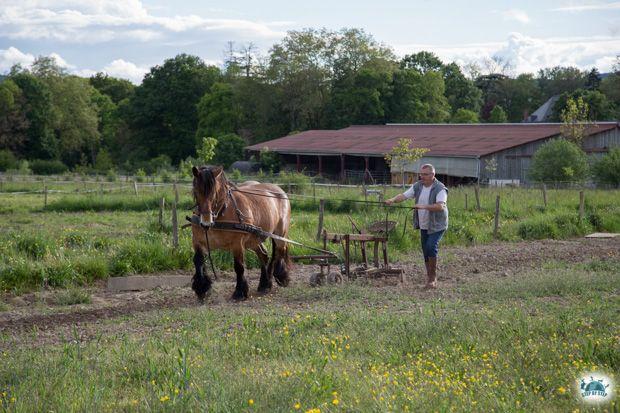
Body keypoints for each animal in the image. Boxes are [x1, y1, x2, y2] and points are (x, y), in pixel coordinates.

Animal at [190, 164, 292, 300]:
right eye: (196, 191)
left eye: (214, 193)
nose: (205, 222)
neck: (220, 214)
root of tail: (279, 190)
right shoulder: (197, 241)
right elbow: (198, 262)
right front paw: (201, 288)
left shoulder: (237, 244)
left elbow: (239, 266)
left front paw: (239, 292)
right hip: (254, 240)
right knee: (264, 255)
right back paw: (264, 284)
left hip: (279, 234)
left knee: (279, 252)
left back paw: (280, 277)